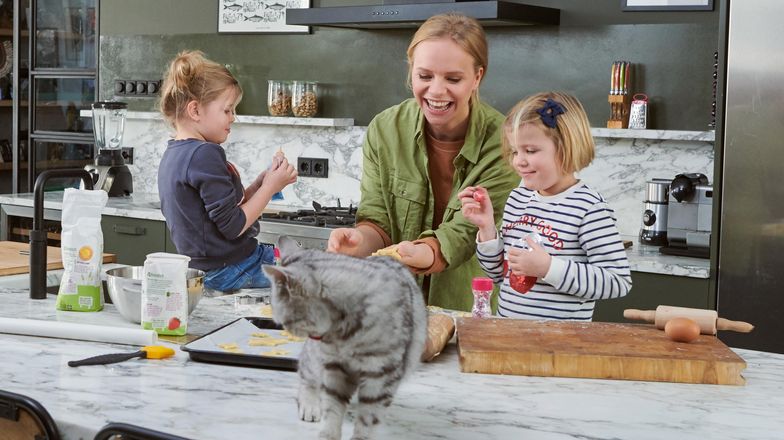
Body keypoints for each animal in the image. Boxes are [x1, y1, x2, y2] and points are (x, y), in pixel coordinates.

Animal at [262, 237, 422, 440]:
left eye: (286, 321)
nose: (284, 328)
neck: (346, 335)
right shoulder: (335, 369)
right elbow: (333, 408)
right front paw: (328, 434)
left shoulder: (381, 377)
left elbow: (368, 419)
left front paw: (360, 436)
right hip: (315, 358)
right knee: (307, 375)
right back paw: (310, 405)